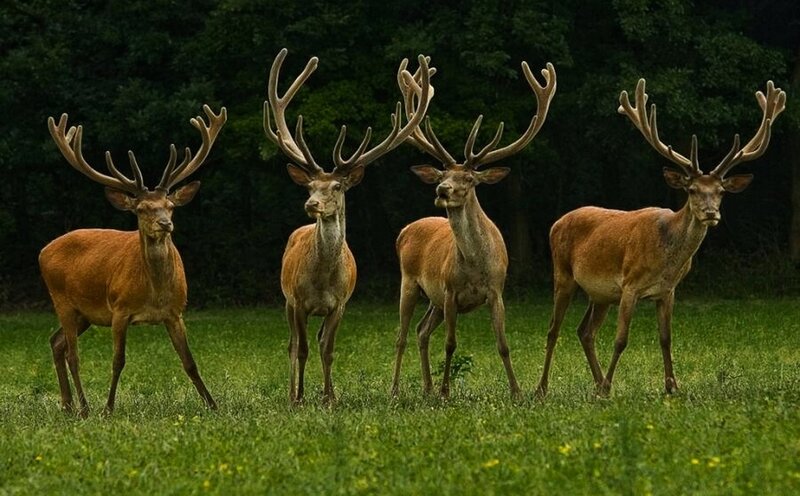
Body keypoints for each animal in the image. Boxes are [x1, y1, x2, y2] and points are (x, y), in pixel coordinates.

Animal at [40, 104, 226, 417]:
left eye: (170, 206)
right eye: (140, 209)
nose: (165, 224)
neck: (154, 293)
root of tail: (43, 250)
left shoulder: (176, 312)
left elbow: (189, 362)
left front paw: (212, 404)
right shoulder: (119, 309)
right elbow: (118, 361)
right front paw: (108, 408)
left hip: (84, 313)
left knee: (57, 343)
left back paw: (67, 404)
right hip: (61, 299)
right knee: (73, 354)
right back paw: (84, 407)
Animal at [263, 48, 433, 404]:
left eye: (338, 186)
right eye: (309, 186)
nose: (312, 205)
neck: (323, 279)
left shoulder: (340, 304)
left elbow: (328, 350)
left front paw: (330, 396)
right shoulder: (297, 301)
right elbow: (301, 350)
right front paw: (300, 398)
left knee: (316, 341)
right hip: (286, 301)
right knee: (292, 345)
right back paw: (291, 392)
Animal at [390, 60, 557, 400]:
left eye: (468, 179)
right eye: (442, 174)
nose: (441, 190)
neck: (475, 265)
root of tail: (406, 229)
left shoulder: (496, 291)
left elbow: (503, 345)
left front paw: (517, 391)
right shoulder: (450, 291)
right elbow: (450, 344)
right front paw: (445, 391)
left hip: (433, 299)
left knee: (421, 331)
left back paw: (426, 388)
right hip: (409, 282)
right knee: (402, 335)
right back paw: (398, 388)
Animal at [535, 79, 786, 398]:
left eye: (720, 192)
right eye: (691, 190)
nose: (710, 213)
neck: (667, 258)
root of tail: (556, 223)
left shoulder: (668, 291)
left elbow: (666, 338)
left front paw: (671, 386)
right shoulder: (630, 284)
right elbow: (621, 339)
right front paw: (612, 385)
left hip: (600, 293)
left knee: (585, 331)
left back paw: (597, 384)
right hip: (563, 274)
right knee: (553, 329)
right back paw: (543, 388)